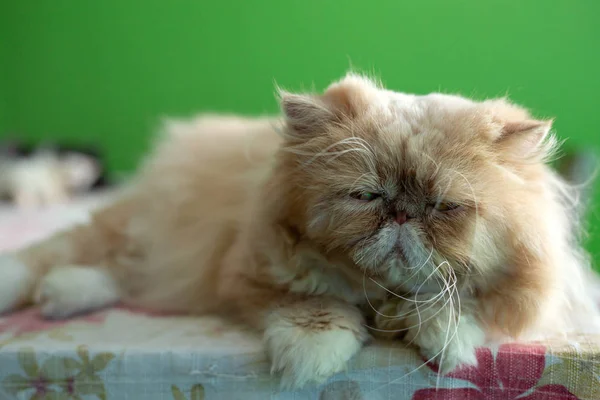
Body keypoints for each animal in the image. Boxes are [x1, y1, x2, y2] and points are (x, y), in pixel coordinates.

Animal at [1, 73, 600, 390]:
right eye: (367, 196)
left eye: (442, 206)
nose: (402, 215)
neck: (381, 295)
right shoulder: (251, 271)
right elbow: (315, 304)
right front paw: (313, 355)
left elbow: (460, 300)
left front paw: (443, 340)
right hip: (143, 231)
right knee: (68, 253)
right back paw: (37, 288)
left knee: (117, 274)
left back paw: (65, 294)